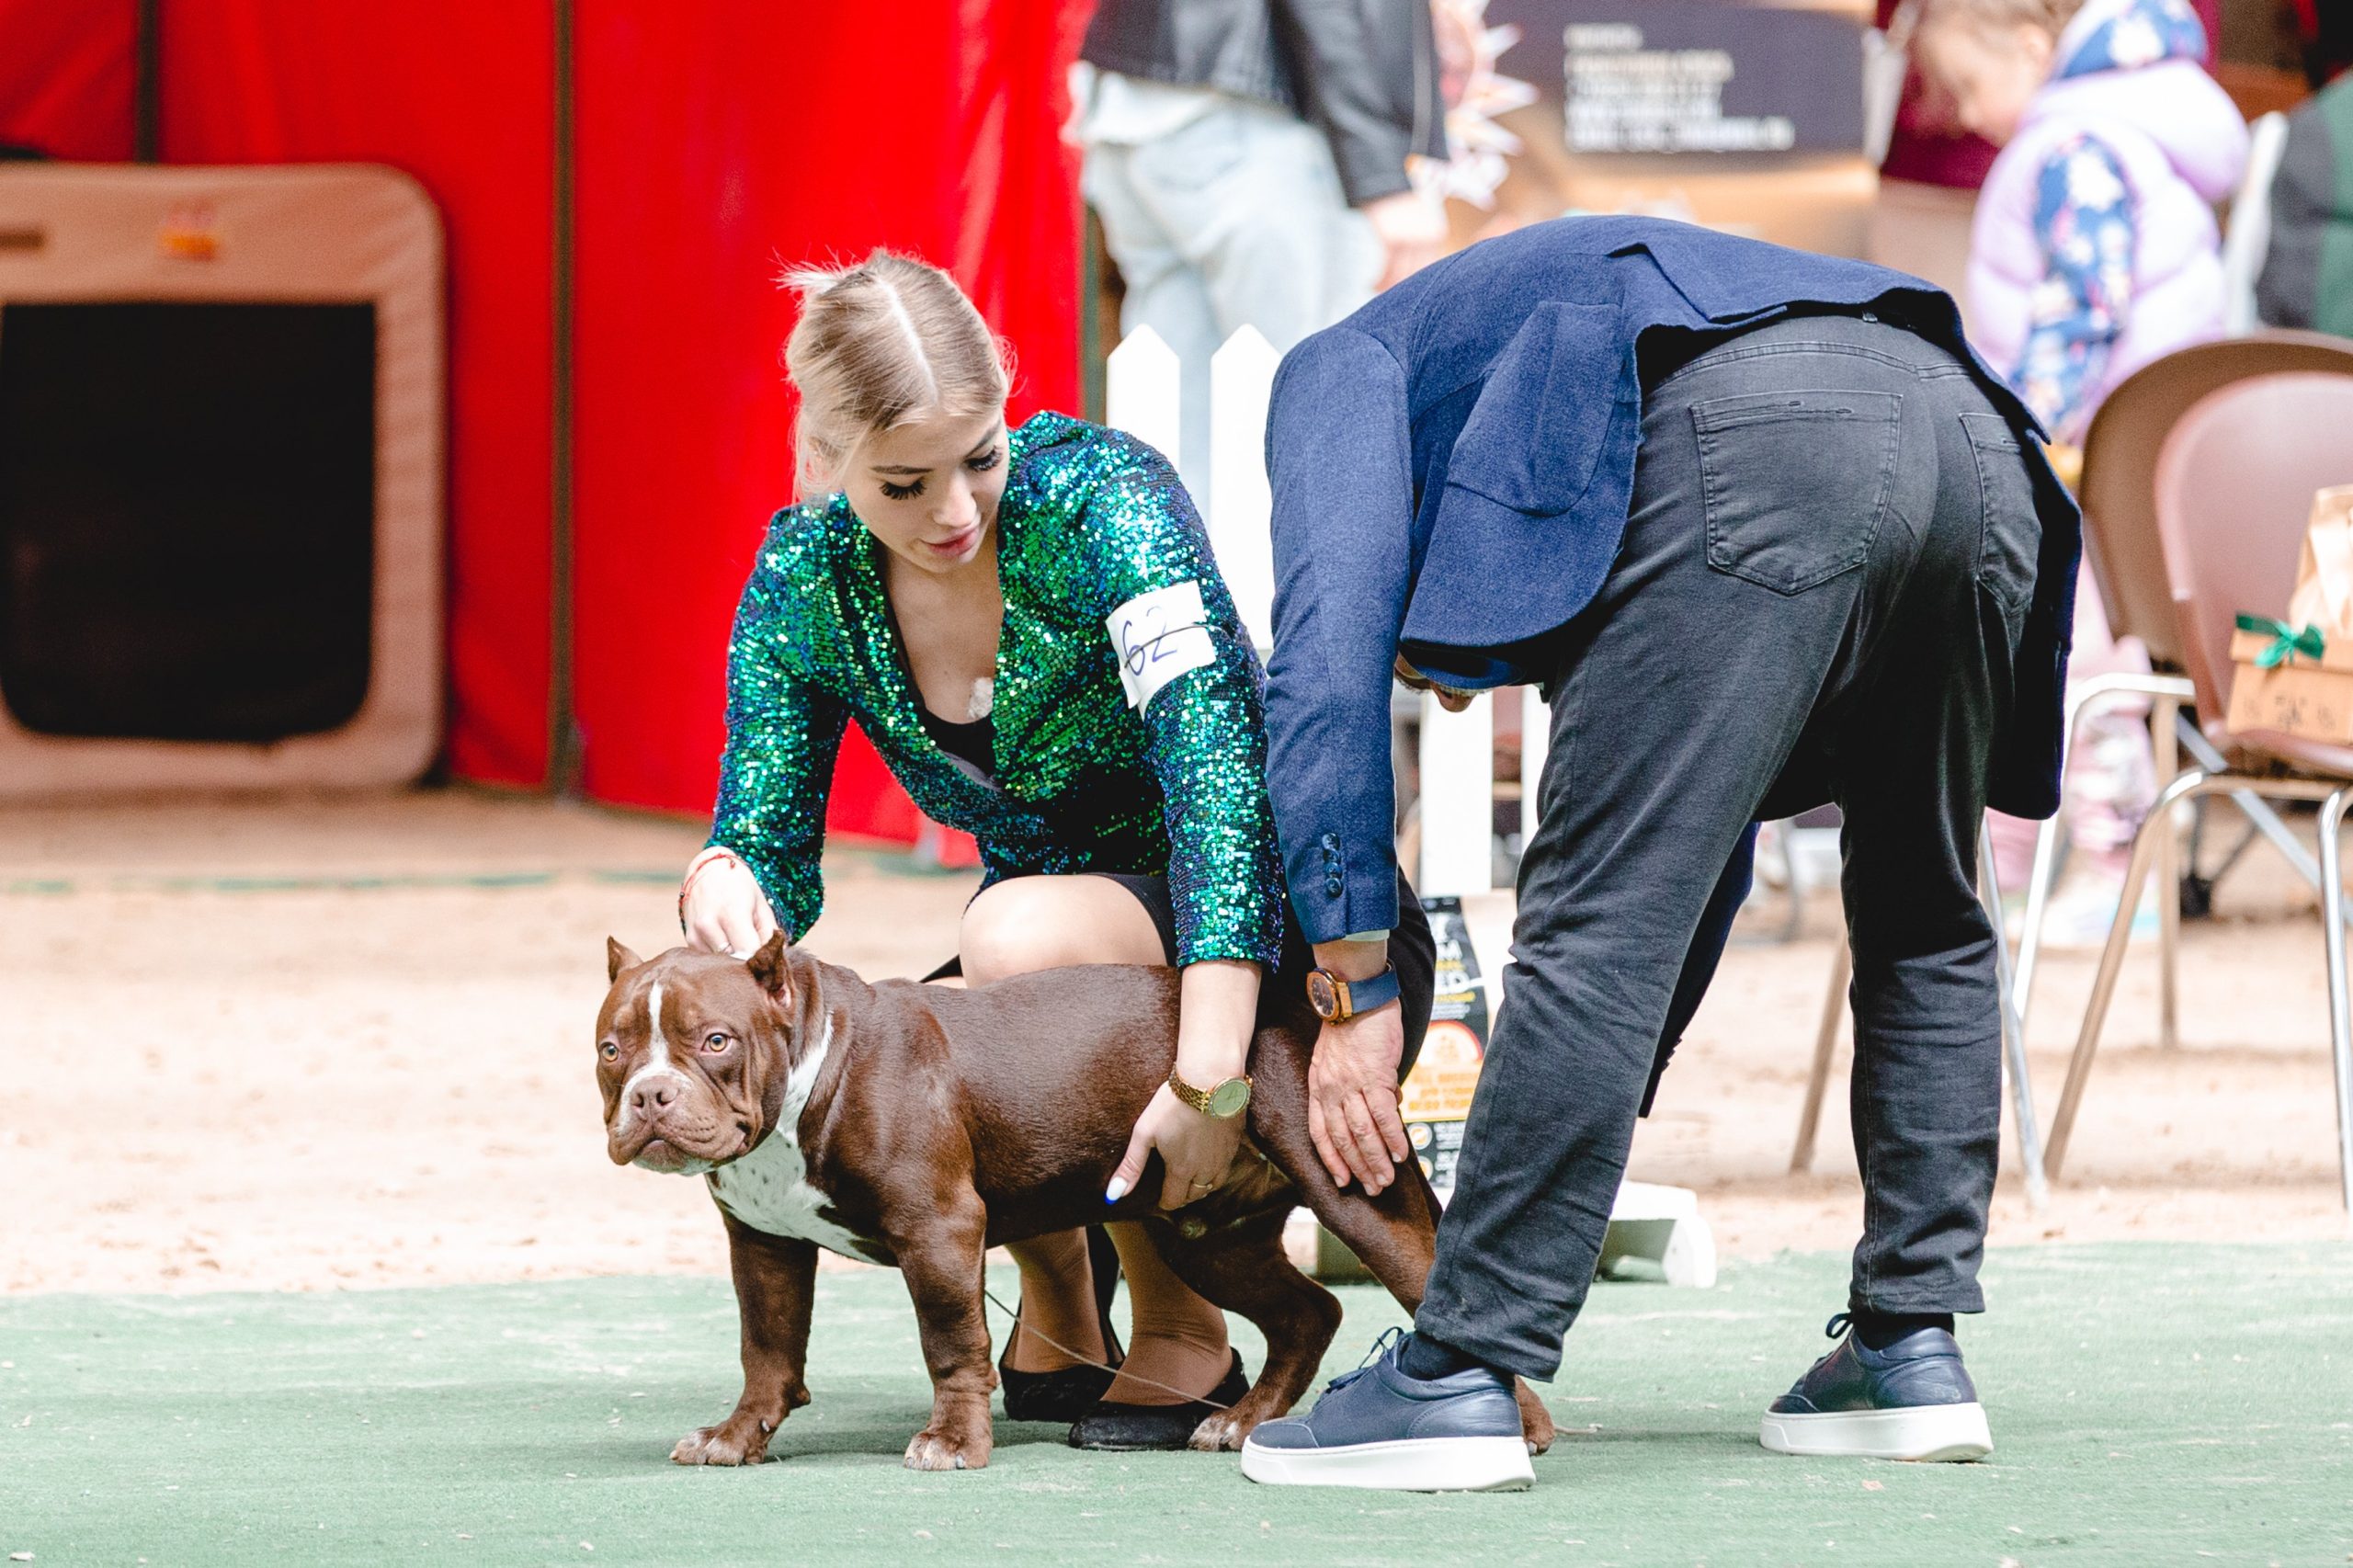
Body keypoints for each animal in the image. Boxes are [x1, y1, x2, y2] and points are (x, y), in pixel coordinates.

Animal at [597, 931, 1554, 1471]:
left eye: (715, 1042)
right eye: (612, 1047)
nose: (650, 1097)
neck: (807, 1062)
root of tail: (1298, 1010)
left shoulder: (937, 1230)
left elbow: (951, 1346)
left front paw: (954, 1444)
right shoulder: (763, 1245)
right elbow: (766, 1352)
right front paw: (735, 1438)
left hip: (1351, 1190)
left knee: (1429, 1281)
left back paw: (1513, 1426)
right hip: (1206, 1235)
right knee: (1307, 1311)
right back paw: (1241, 1422)